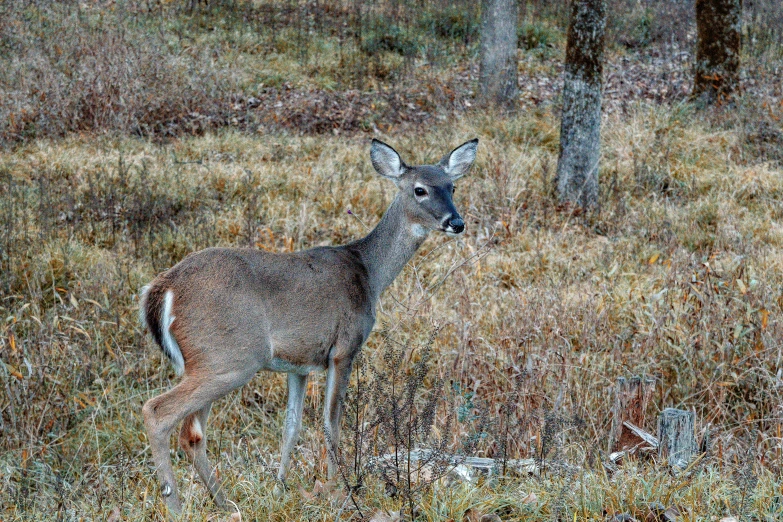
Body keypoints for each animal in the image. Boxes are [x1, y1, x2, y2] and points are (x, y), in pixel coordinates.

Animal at [139, 137, 478, 512]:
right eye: (420, 189)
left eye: (452, 186)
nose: (456, 222)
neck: (369, 273)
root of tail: (163, 289)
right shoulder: (344, 347)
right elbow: (332, 422)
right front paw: (338, 491)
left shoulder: (298, 364)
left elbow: (292, 425)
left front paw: (280, 487)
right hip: (231, 357)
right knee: (158, 412)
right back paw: (175, 504)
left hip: (207, 361)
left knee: (192, 433)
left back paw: (225, 504)